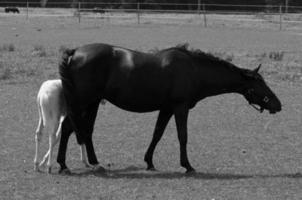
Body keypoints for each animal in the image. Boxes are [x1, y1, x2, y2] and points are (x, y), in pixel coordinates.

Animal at [58, 43, 280, 173]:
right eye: (260, 82)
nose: (278, 104)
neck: (193, 69)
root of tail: (74, 53)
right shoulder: (181, 107)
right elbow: (183, 136)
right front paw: (187, 165)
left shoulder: (166, 109)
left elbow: (157, 134)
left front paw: (149, 162)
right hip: (83, 102)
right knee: (70, 128)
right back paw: (63, 165)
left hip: (91, 103)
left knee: (84, 131)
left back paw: (93, 163)